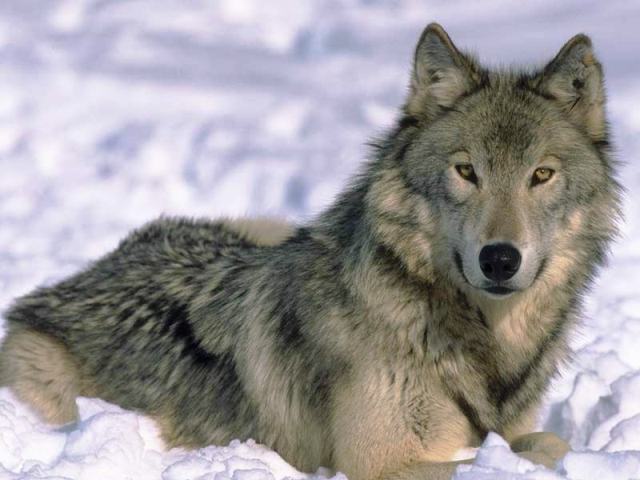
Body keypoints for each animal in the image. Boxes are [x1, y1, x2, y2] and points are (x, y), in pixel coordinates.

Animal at [0, 23, 621, 480]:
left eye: (541, 175)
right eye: (466, 171)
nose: (499, 259)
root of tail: (89, 272)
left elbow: (544, 439)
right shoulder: (382, 464)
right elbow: (538, 450)